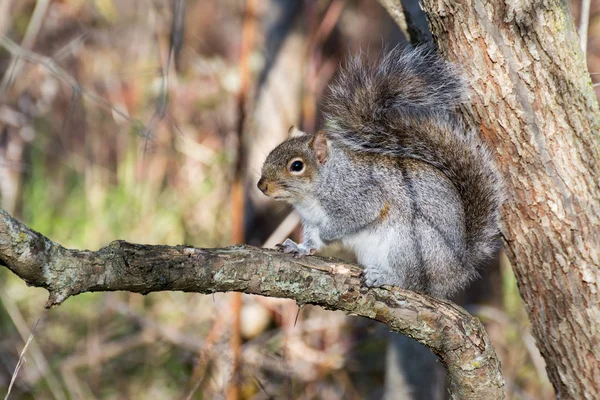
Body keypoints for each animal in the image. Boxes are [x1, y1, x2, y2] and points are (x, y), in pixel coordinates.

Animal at [255, 46, 504, 296]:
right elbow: (312, 241)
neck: (313, 194)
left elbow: (354, 218)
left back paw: (385, 277)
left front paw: (329, 233)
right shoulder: (310, 220)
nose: (261, 186)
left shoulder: (361, 197)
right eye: (271, 152)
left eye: (296, 166)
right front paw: (299, 247)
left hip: (410, 244)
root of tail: (457, 270)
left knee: (412, 282)